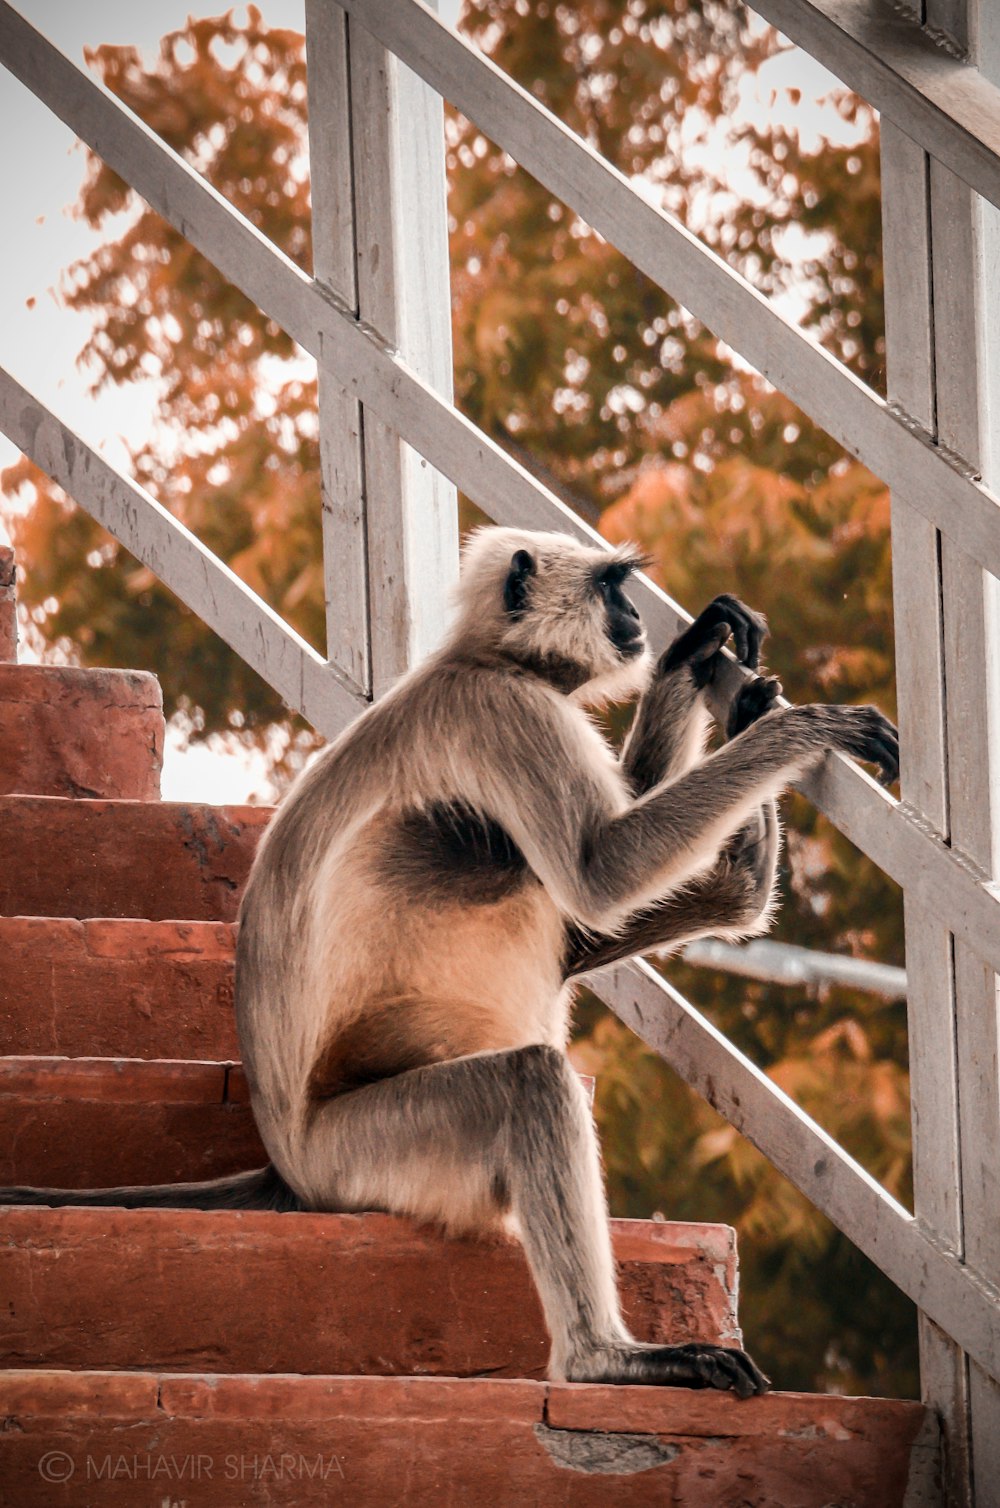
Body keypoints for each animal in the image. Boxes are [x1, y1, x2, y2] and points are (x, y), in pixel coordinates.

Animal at [3, 524, 898, 1393]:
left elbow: (611, 912)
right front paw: (793, 729)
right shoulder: (503, 711)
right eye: (611, 586)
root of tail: (291, 1164)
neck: (480, 660)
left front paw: (710, 667)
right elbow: (603, 872)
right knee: (530, 1079)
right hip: (368, 1152)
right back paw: (603, 1359)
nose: (638, 620)